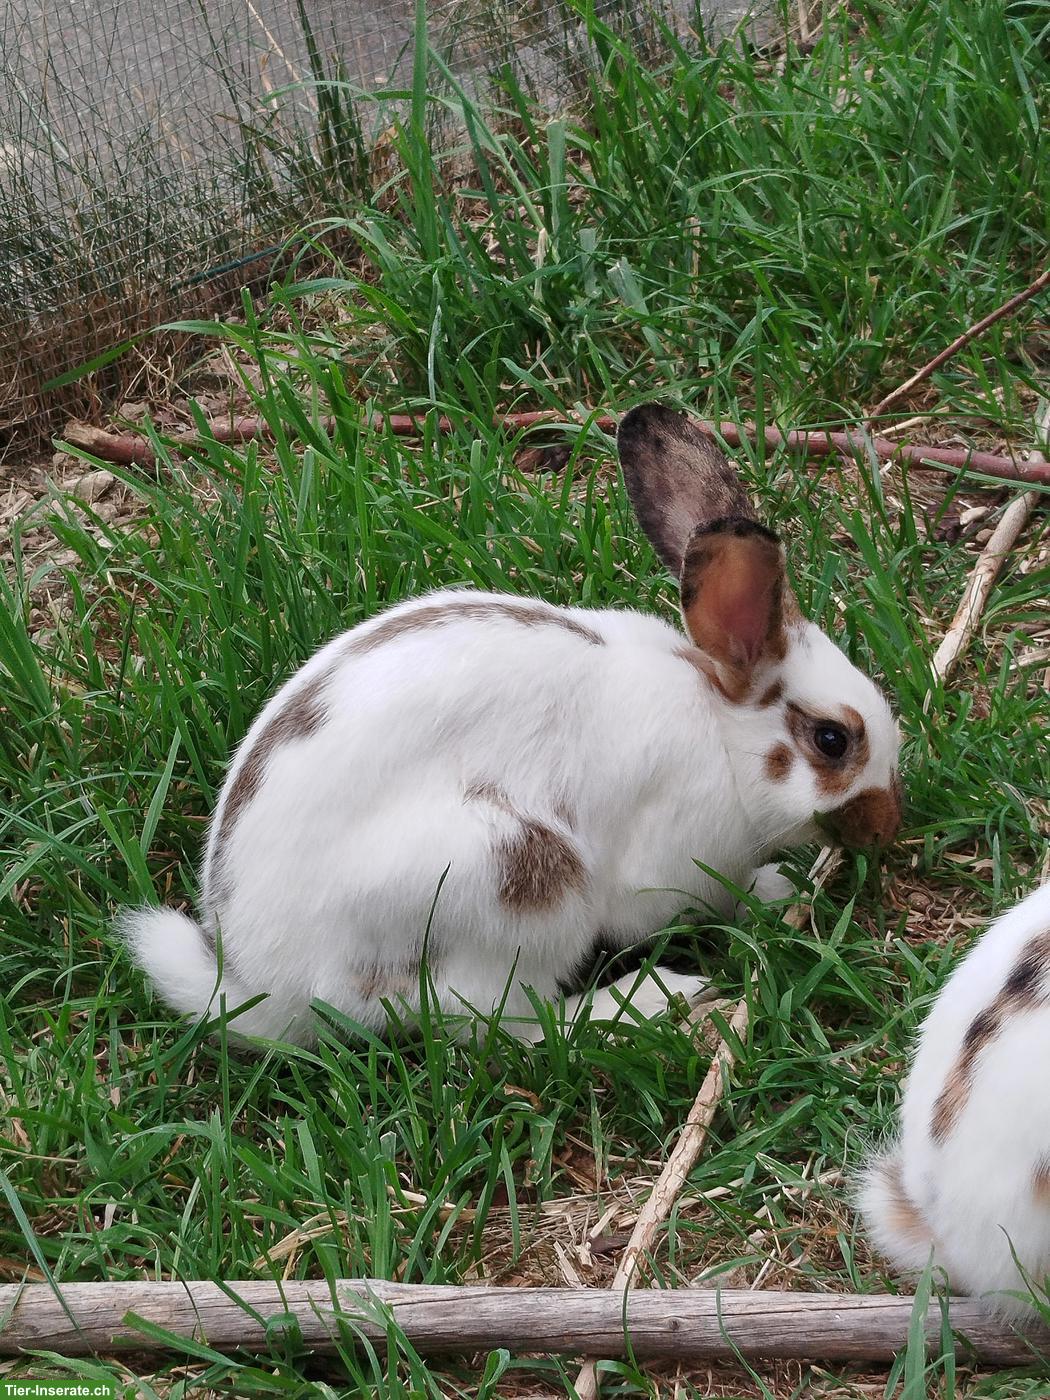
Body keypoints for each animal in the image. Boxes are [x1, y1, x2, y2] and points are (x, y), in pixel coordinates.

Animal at [120, 403, 902, 1046]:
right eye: (832, 740)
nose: (887, 830)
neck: (722, 732)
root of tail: (265, 987)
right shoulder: (669, 862)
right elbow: (703, 897)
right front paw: (772, 895)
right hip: (518, 877)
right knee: (501, 1020)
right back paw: (649, 1001)